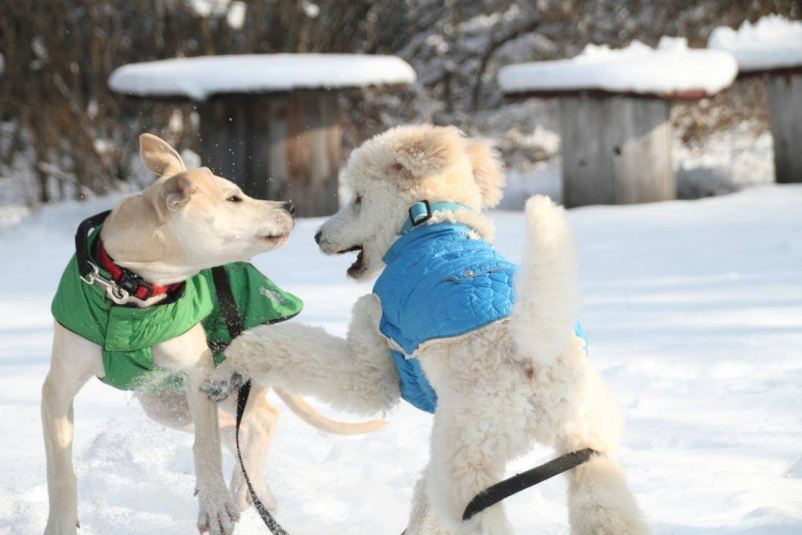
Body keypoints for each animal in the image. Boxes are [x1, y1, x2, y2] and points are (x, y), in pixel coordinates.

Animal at [40, 135, 382, 535]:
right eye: (233, 199)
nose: (290, 206)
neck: (131, 287)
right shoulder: (58, 389)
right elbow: (60, 468)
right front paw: (60, 524)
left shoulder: (197, 370)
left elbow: (205, 446)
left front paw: (216, 505)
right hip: (164, 403)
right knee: (232, 428)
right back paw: (253, 490)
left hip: (226, 382)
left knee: (260, 419)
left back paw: (237, 490)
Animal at [206, 126, 648, 535]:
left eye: (359, 199)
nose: (316, 235)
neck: (429, 222)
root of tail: (530, 352)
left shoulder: (374, 366)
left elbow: (296, 348)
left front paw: (235, 355)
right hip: (587, 450)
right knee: (605, 508)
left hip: (467, 466)